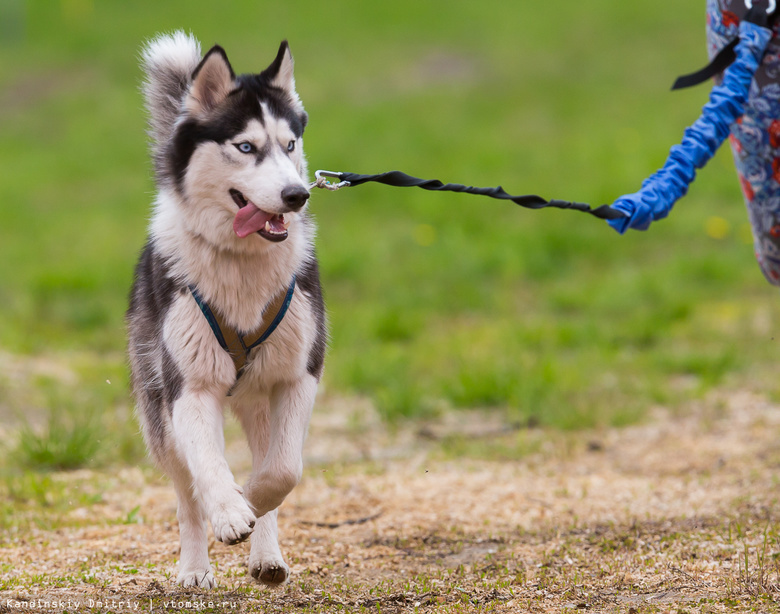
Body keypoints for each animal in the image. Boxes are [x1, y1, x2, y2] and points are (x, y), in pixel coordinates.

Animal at [127, 33, 326, 592]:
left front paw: (250, 505)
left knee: (268, 459)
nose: (296, 195)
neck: (241, 265)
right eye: (245, 147)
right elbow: (209, 471)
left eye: (289, 145)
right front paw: (230, 513)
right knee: (186, 491)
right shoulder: (189, 388)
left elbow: (282, 472)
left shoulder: (299, 375)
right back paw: (195, 566)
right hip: (160, 416)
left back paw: (267, 557)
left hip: (260, 399)